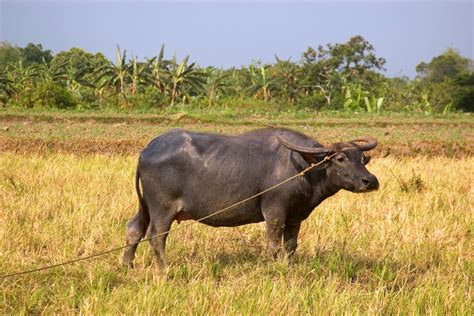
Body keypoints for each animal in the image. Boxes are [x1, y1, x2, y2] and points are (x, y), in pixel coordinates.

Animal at [121, 126, 378, 270]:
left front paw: (289, 266)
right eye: (340, 159)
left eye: (361, 158)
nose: (370, 181)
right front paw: (274, 268)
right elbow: (273, 245)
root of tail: (148, 149)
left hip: (146, 205)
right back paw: (165, 269)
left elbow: (291, 245)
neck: (304, 168)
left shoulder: (295, 216)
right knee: (156, 235)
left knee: (134, 229)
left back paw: (128, 266)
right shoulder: (274, 211)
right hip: (161, 207)